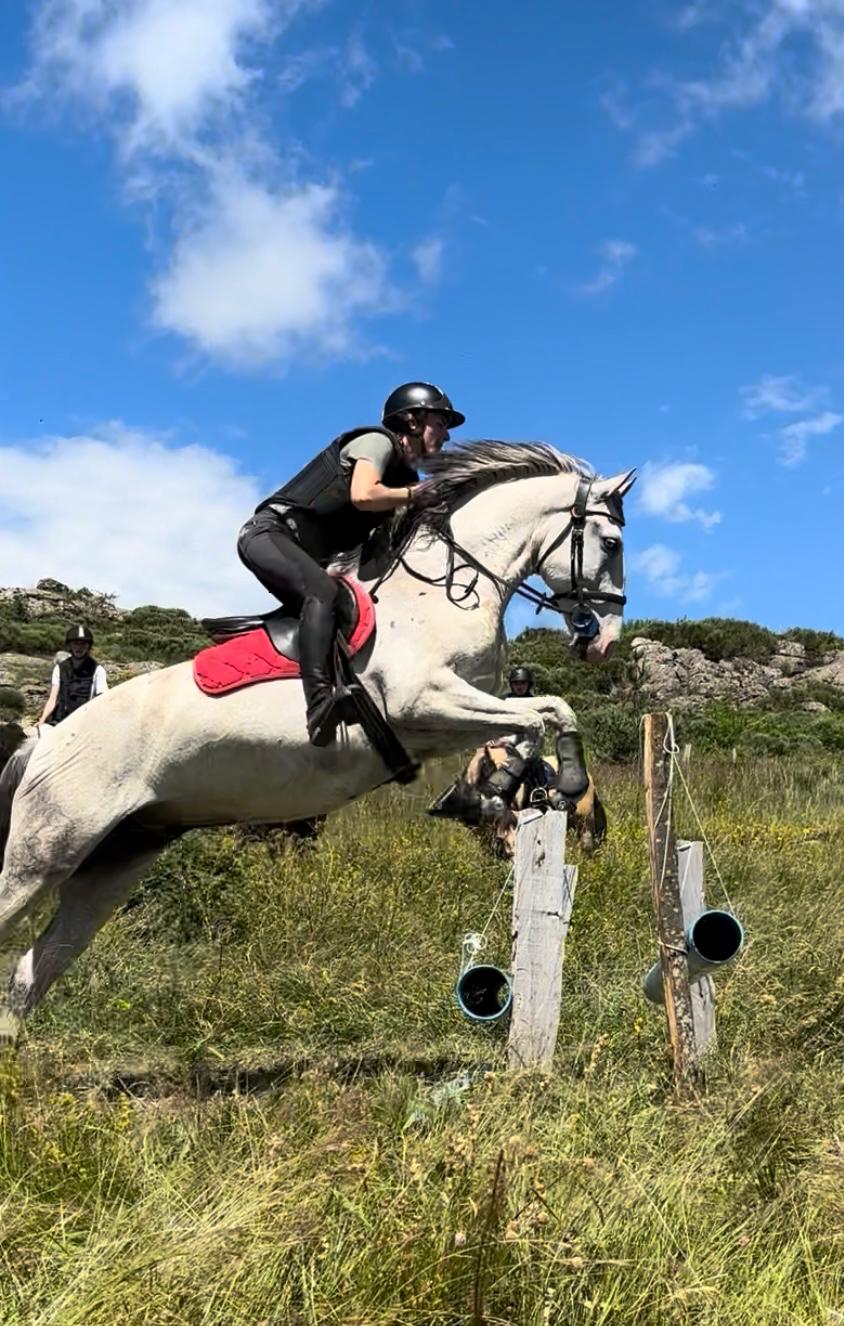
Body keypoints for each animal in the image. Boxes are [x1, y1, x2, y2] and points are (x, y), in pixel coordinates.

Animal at [0, 441, 634, 1044]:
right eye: (611, 542)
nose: (603, 640)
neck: (447, 591)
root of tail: (46, 744)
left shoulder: (455, 713)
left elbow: (543, 717)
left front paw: (530, 788)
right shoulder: (425, 703)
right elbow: (535, 720)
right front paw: (503, 794)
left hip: (118, 859)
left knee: (36, 968)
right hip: (49, 846)